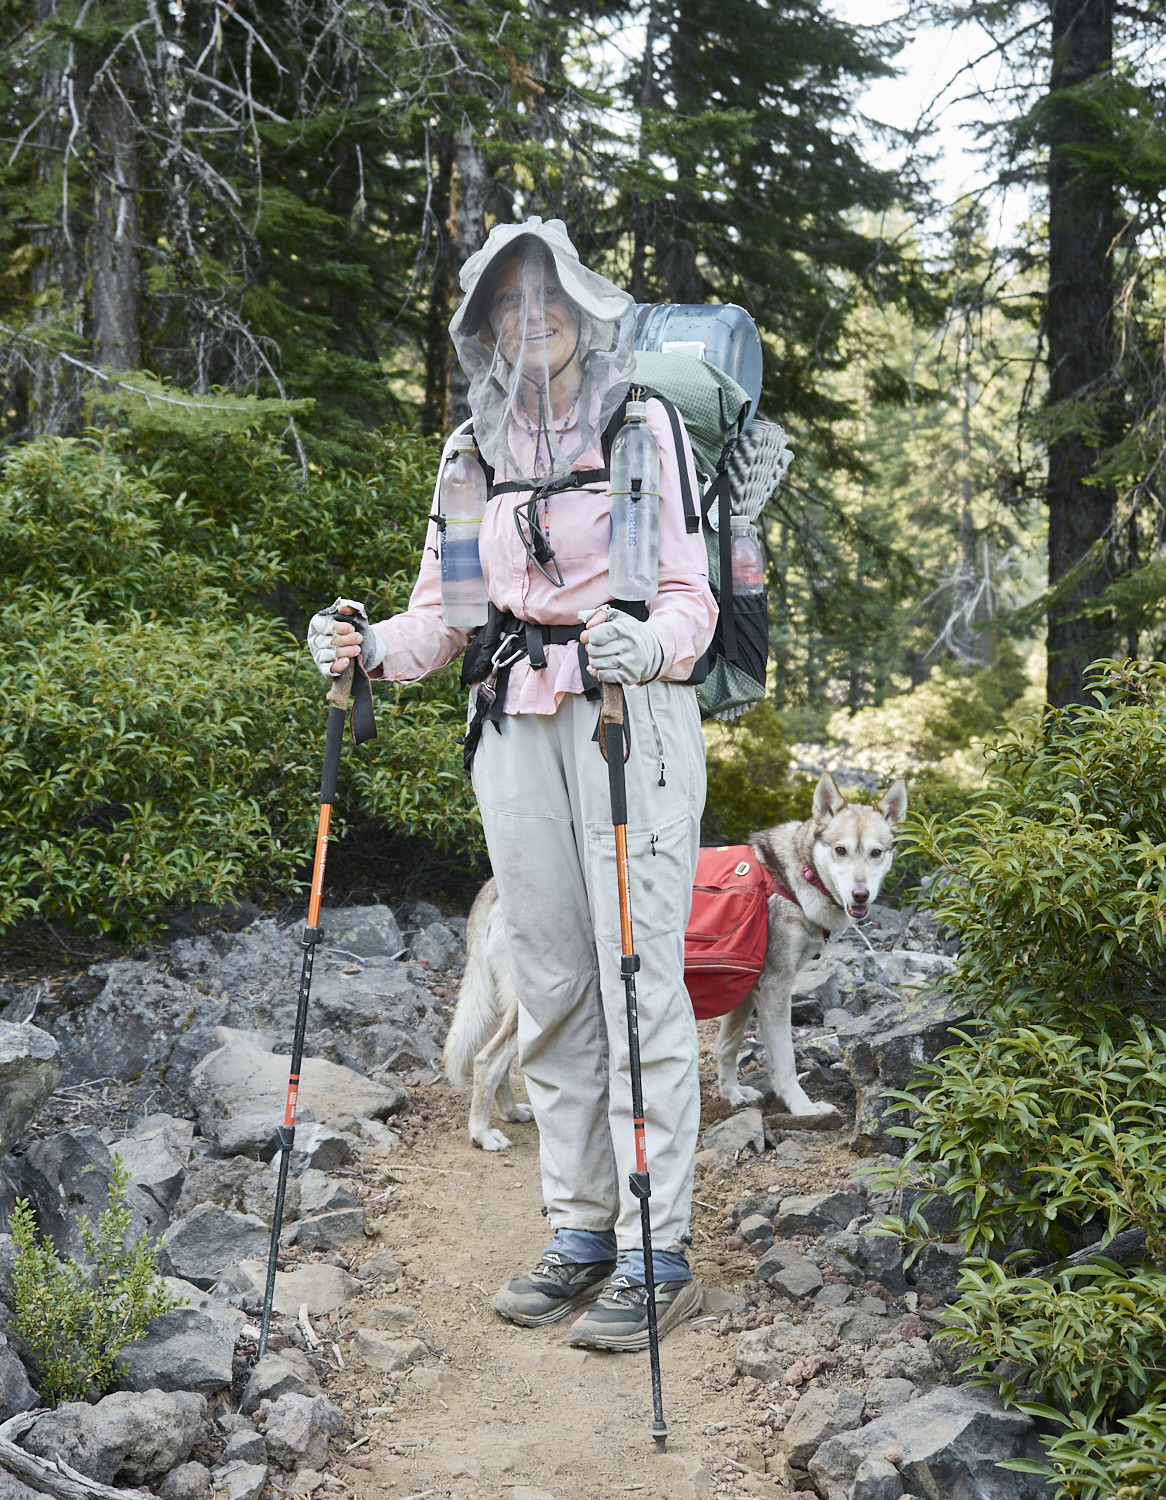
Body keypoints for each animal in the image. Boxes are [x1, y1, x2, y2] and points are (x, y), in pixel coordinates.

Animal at [441, 774, 906, 1146]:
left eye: (876, 853)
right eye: (841, 850)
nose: (861, 895)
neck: (792, 875)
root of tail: (493, 886)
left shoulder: (746, 989)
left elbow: (726, 1049)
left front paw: (733, 1095)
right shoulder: (775, 989)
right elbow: (786, 1064)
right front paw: (804, 1109)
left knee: (497, 1060)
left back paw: (509, 1112)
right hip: (541, 1004)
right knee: (486, 1060)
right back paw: (482, 1133)